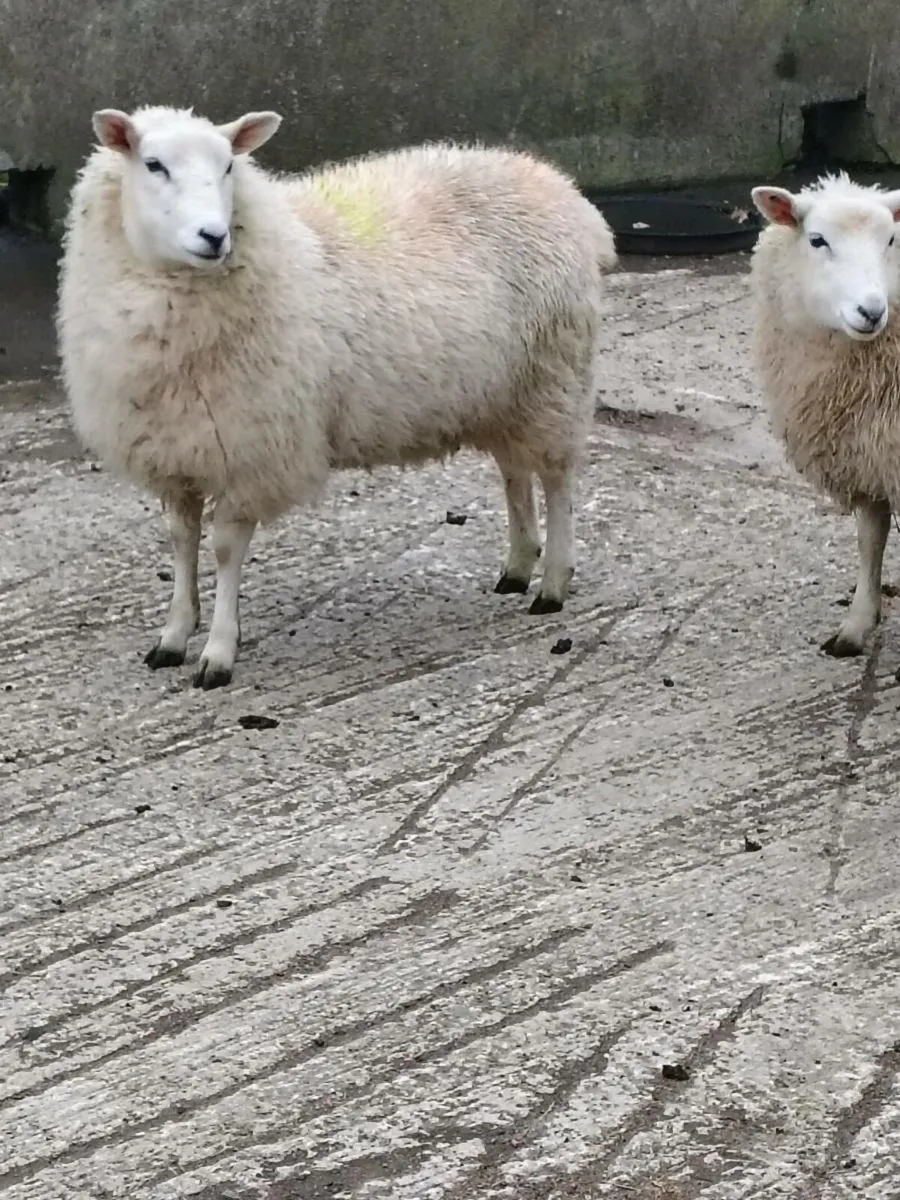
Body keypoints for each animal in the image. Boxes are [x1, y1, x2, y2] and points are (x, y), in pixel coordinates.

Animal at [57, 105, 617, 689]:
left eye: (229, 165)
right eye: (153, 165)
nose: (213, 236)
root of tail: (565, 190)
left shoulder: (249, 450)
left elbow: (225, 550)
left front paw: (218, 652)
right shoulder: (177, 452)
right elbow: (181, 542)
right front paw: (172, 636)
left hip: (554, 377)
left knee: (556, 481)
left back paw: (552, 584)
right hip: (504, 392)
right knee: (514, 473)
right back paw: (518, 566)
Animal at [750, 172, 900, 657]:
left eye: (891, 239)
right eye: (817, 240)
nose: (872, 311)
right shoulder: (867, 456)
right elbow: (871, 541)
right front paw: (856, 627)